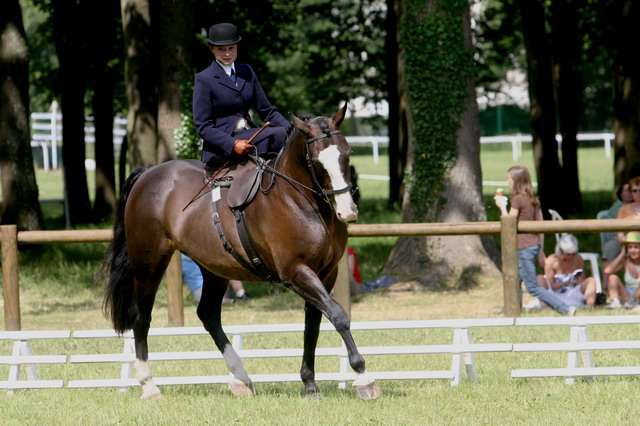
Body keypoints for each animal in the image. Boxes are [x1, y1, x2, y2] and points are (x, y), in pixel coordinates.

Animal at [100, 103, 380, 400]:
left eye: (347, 153)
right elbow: (338, 315)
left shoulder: (325, 273)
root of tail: (148, 173)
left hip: (214, 267)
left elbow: (313, 324)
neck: (299, 201)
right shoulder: (296, 272)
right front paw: (363, 377)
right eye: (316, 161)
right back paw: (149, 385)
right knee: (141, 316)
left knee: (209, 315)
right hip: (149, 262)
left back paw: (241, 378)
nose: (348, 211)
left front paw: (310, 384)